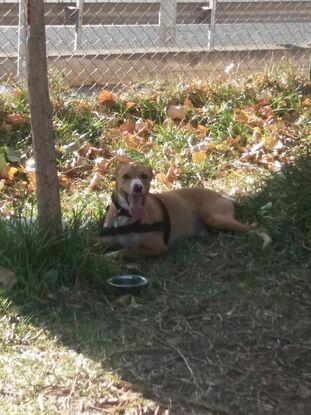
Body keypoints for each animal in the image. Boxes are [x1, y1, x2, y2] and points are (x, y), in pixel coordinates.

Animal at [102, 163, 251, 258]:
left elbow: (126, 251)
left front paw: (111, 255)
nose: (138, 187)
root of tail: (221, 195)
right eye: (126, 176)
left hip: (216, 218)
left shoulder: (157, 247)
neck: (125, 215)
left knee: (250, 228)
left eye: (144, 176)